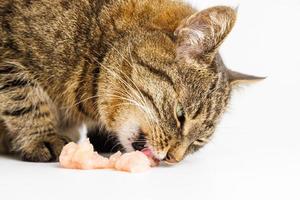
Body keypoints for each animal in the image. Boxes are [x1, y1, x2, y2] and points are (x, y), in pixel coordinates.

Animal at [0, 0, 262, 162]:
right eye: (180, 116)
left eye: (198, 141)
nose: (174, 159)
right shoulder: (7, 57)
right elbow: (24, 98)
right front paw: (43, 136)